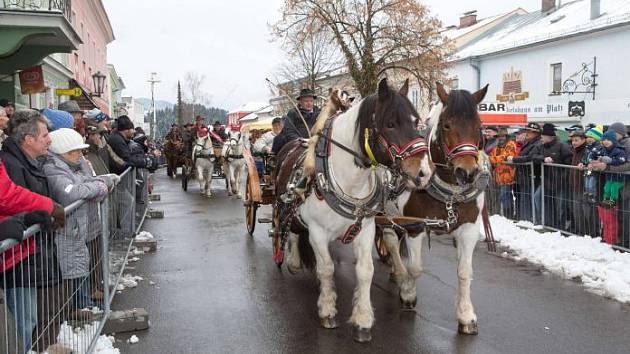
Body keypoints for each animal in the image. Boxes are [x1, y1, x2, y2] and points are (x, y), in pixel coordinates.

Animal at [278, 79, 436, 342]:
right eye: (390, 123)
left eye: (416, 122)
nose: (424, 172)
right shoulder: (317, 232)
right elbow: (327, 269)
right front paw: (328, 310)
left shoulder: (366, 229)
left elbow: (365, 271)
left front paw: (362, 320)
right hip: (288, 209)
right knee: (289, 230)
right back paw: (293, 262)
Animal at [380, 81, 494, 336]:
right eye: (446, 124)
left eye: (479, 126)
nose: (467, 172)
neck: (449, 192)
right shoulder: (415, 227)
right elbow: (415, 268)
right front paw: (408, 293)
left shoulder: (469, 229)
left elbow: (464, 272)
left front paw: (466, 316)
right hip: (384, 214)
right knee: (390, 241)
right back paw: (398, 274)